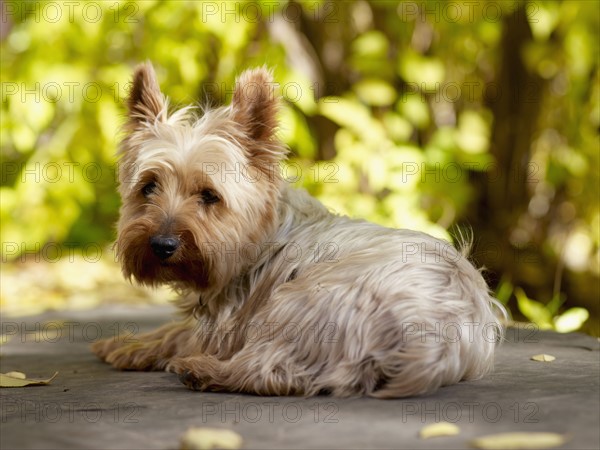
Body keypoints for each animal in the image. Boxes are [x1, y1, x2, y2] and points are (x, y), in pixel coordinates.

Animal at [92, 63, 506, 398]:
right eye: (148, 187)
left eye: (209, 195)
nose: (162, 244)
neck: (264, 234)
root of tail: (433, 342)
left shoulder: (227, 325)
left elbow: (178, 333)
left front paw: (129, 346)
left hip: (299, 299)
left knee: (270, 371)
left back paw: (203, 371)